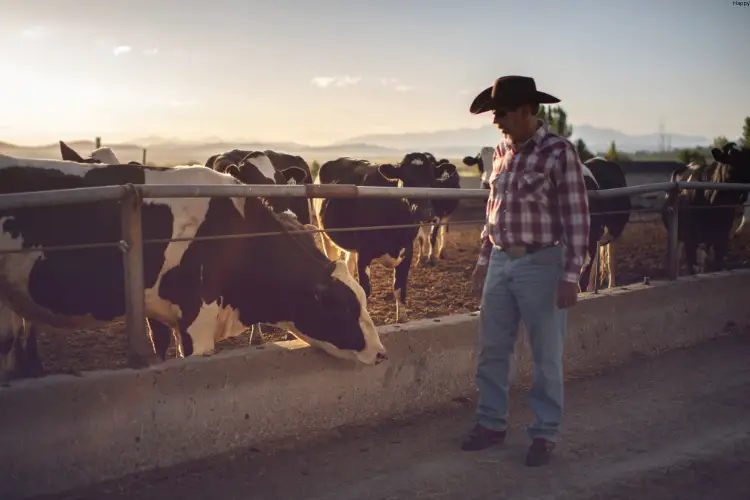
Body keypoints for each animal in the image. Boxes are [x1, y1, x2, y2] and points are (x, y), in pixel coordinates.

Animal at [312, 153, 440, 324]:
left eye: (432, 181)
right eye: (406, 179)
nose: (425, 212)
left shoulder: (407, 250)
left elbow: (400, 288)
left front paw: (402, 319)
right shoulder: (364, 253)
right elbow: (366, 289)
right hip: (326, 237)